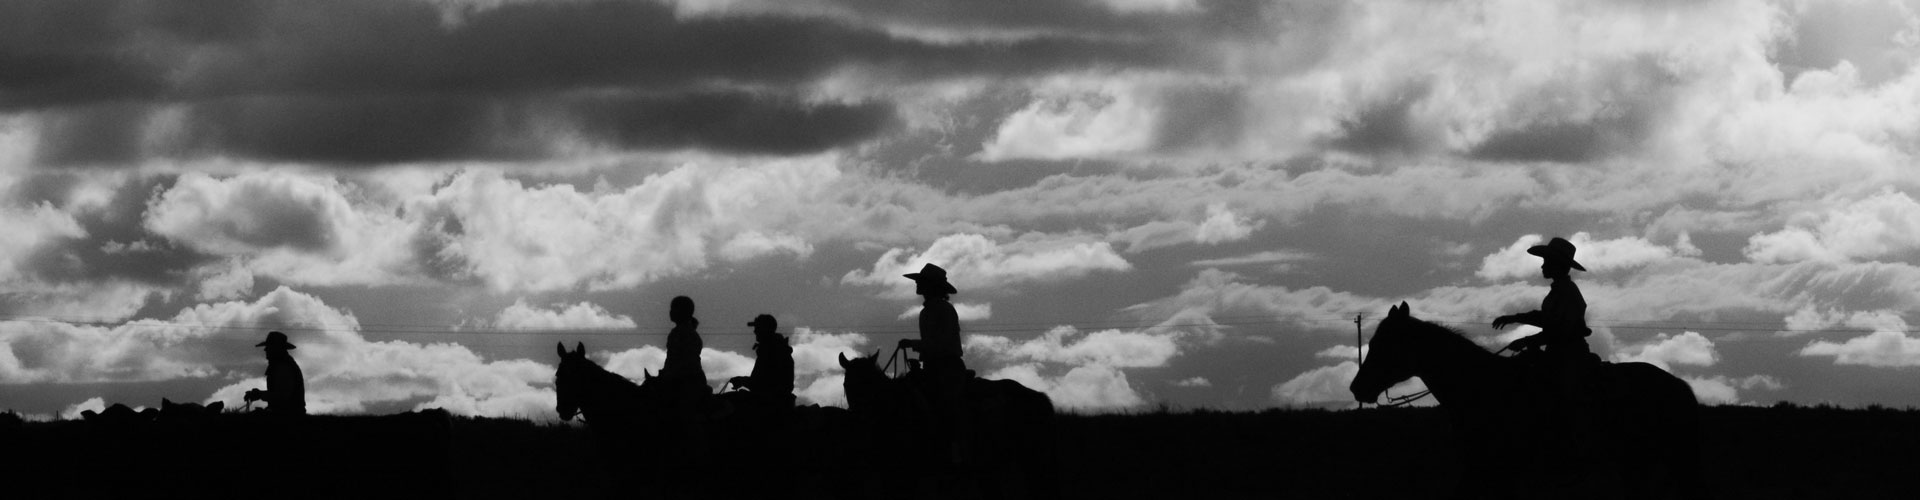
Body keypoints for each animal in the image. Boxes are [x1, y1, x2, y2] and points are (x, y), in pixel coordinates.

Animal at [1344, 301, 1704, 496]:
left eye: (1385, 345)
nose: (1357, 388)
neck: (1484, 387)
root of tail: (1679, 387)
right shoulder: (1484, 467)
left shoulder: (1499, 466)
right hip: (1634, 462)